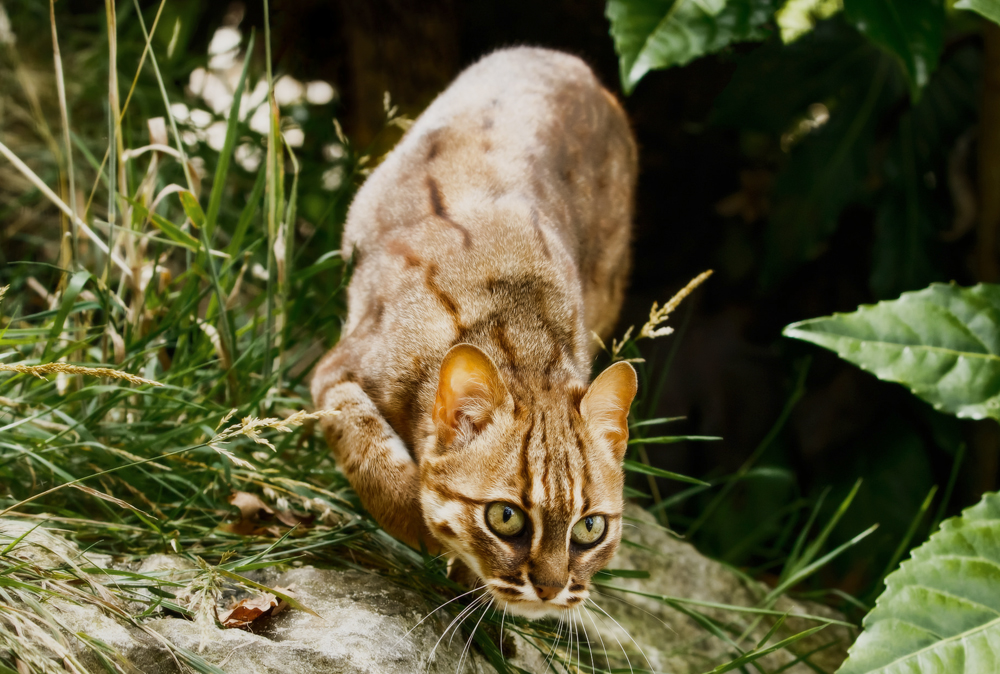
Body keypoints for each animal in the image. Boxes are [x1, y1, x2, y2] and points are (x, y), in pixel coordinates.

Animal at [312, 46, 636, 616]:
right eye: (506, 518)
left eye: (590, 529)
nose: (551, 589)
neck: (523, 348)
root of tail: (571, 62)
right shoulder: (335, 371)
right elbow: (375, 458)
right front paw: (430, 529)